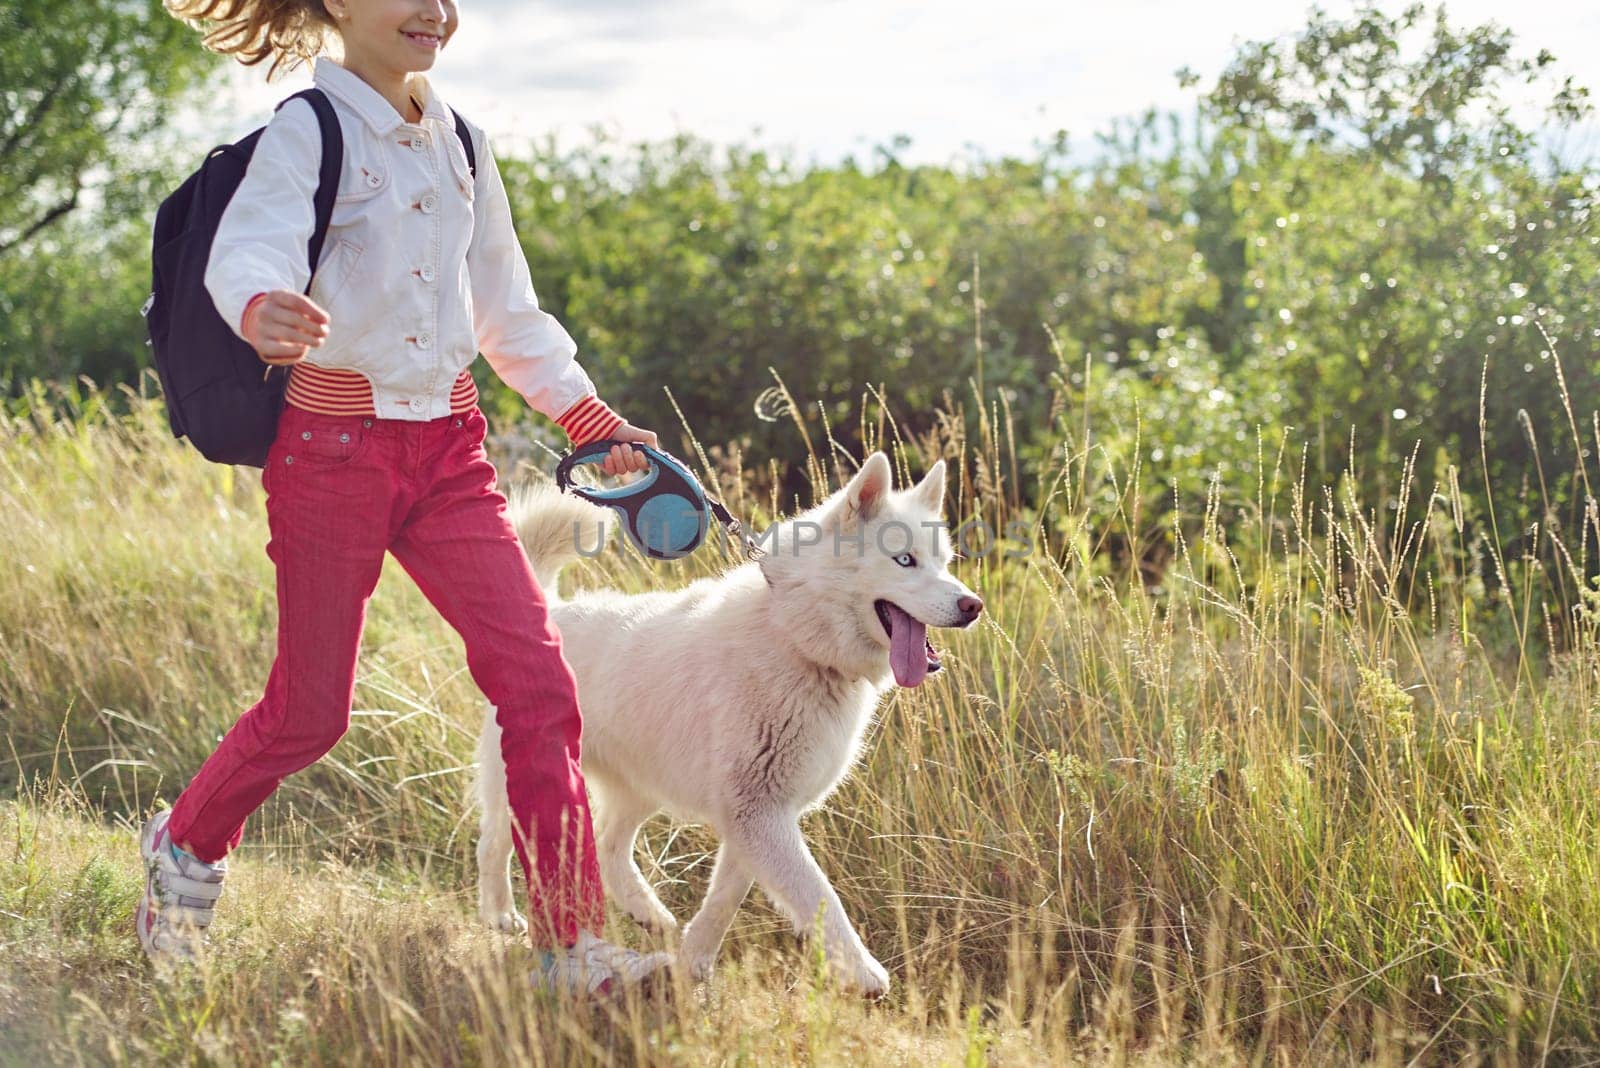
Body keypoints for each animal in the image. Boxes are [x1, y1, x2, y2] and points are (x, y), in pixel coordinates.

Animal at [467, 450, 979, 991]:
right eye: (905, 561)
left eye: (945, 563)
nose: (973, 606)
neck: (797, 640)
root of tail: (553, 609)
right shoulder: (756, 811)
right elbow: (820, 896)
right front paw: (863, 974)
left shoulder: (755, 816)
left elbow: (725, 900)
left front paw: (693, 963)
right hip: (528, 776)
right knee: (494, 843)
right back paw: (500, 915)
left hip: (640, 789)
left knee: (608, 846)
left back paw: (648, 913)